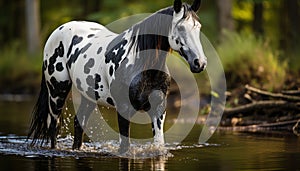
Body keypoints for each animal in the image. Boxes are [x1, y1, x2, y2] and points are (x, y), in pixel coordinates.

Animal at [27, 0, 206, 154]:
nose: (200, 63)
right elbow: (124, 147)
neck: (141, 64)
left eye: (198, 27)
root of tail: (59, 30)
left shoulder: (158, 110)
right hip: (57, 91)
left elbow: (158, 144)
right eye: (180, 28)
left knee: (79, 123)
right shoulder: (123, 109)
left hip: (88, 96)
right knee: (53, 125)